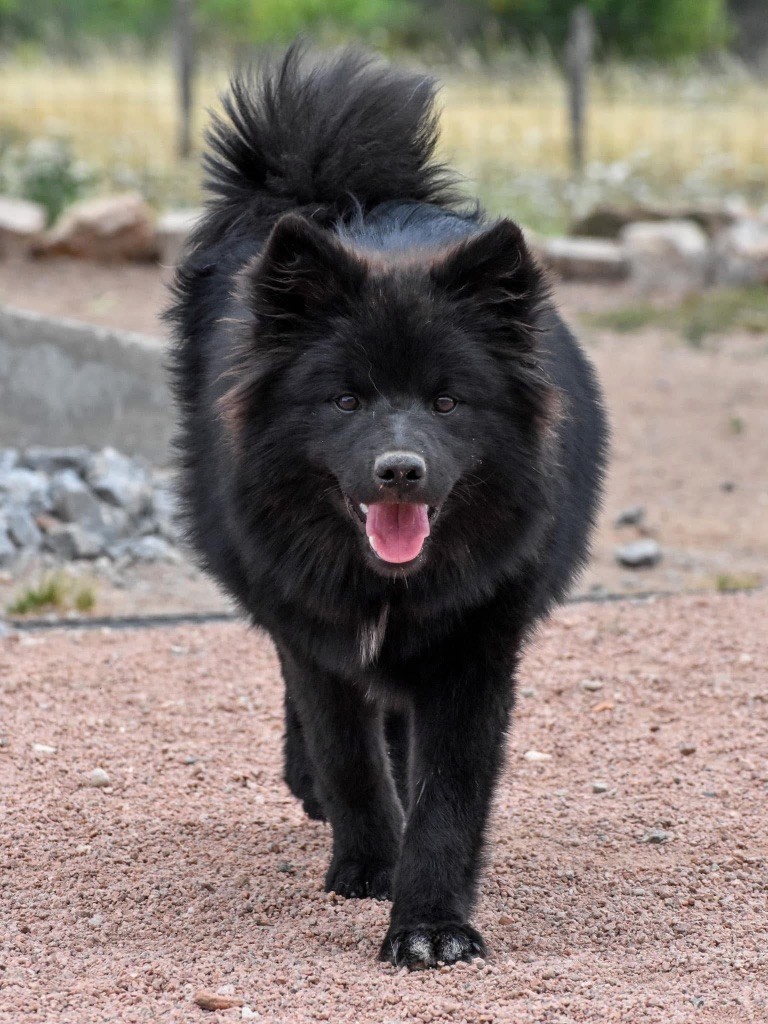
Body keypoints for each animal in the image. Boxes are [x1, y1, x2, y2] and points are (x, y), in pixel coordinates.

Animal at [165, 41, 610, 966]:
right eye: (345, 400)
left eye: (446, 402)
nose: (399, 470)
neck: (388, 582)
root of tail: (337, 195)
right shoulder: (318, 630)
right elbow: (348, 757)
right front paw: (367, 865)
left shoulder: (476, 646)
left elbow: (448, 793)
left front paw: (431, 925)